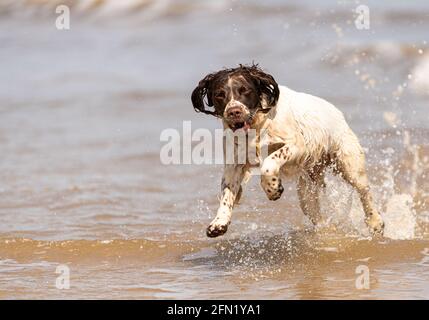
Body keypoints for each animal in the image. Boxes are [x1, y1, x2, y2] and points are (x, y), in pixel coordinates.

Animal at [191, 63, 384, 238]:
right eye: (219, 94)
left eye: (245, 90)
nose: (234, 111)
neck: (257, 126)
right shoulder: (234, 163)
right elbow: (226, 193)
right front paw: (219, 223)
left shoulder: (297, 145)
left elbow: (269, 163)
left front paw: (273, 188)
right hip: (306, 192)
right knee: (317, 216)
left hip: (349, 164)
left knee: (364, 191)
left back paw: (376, 223)